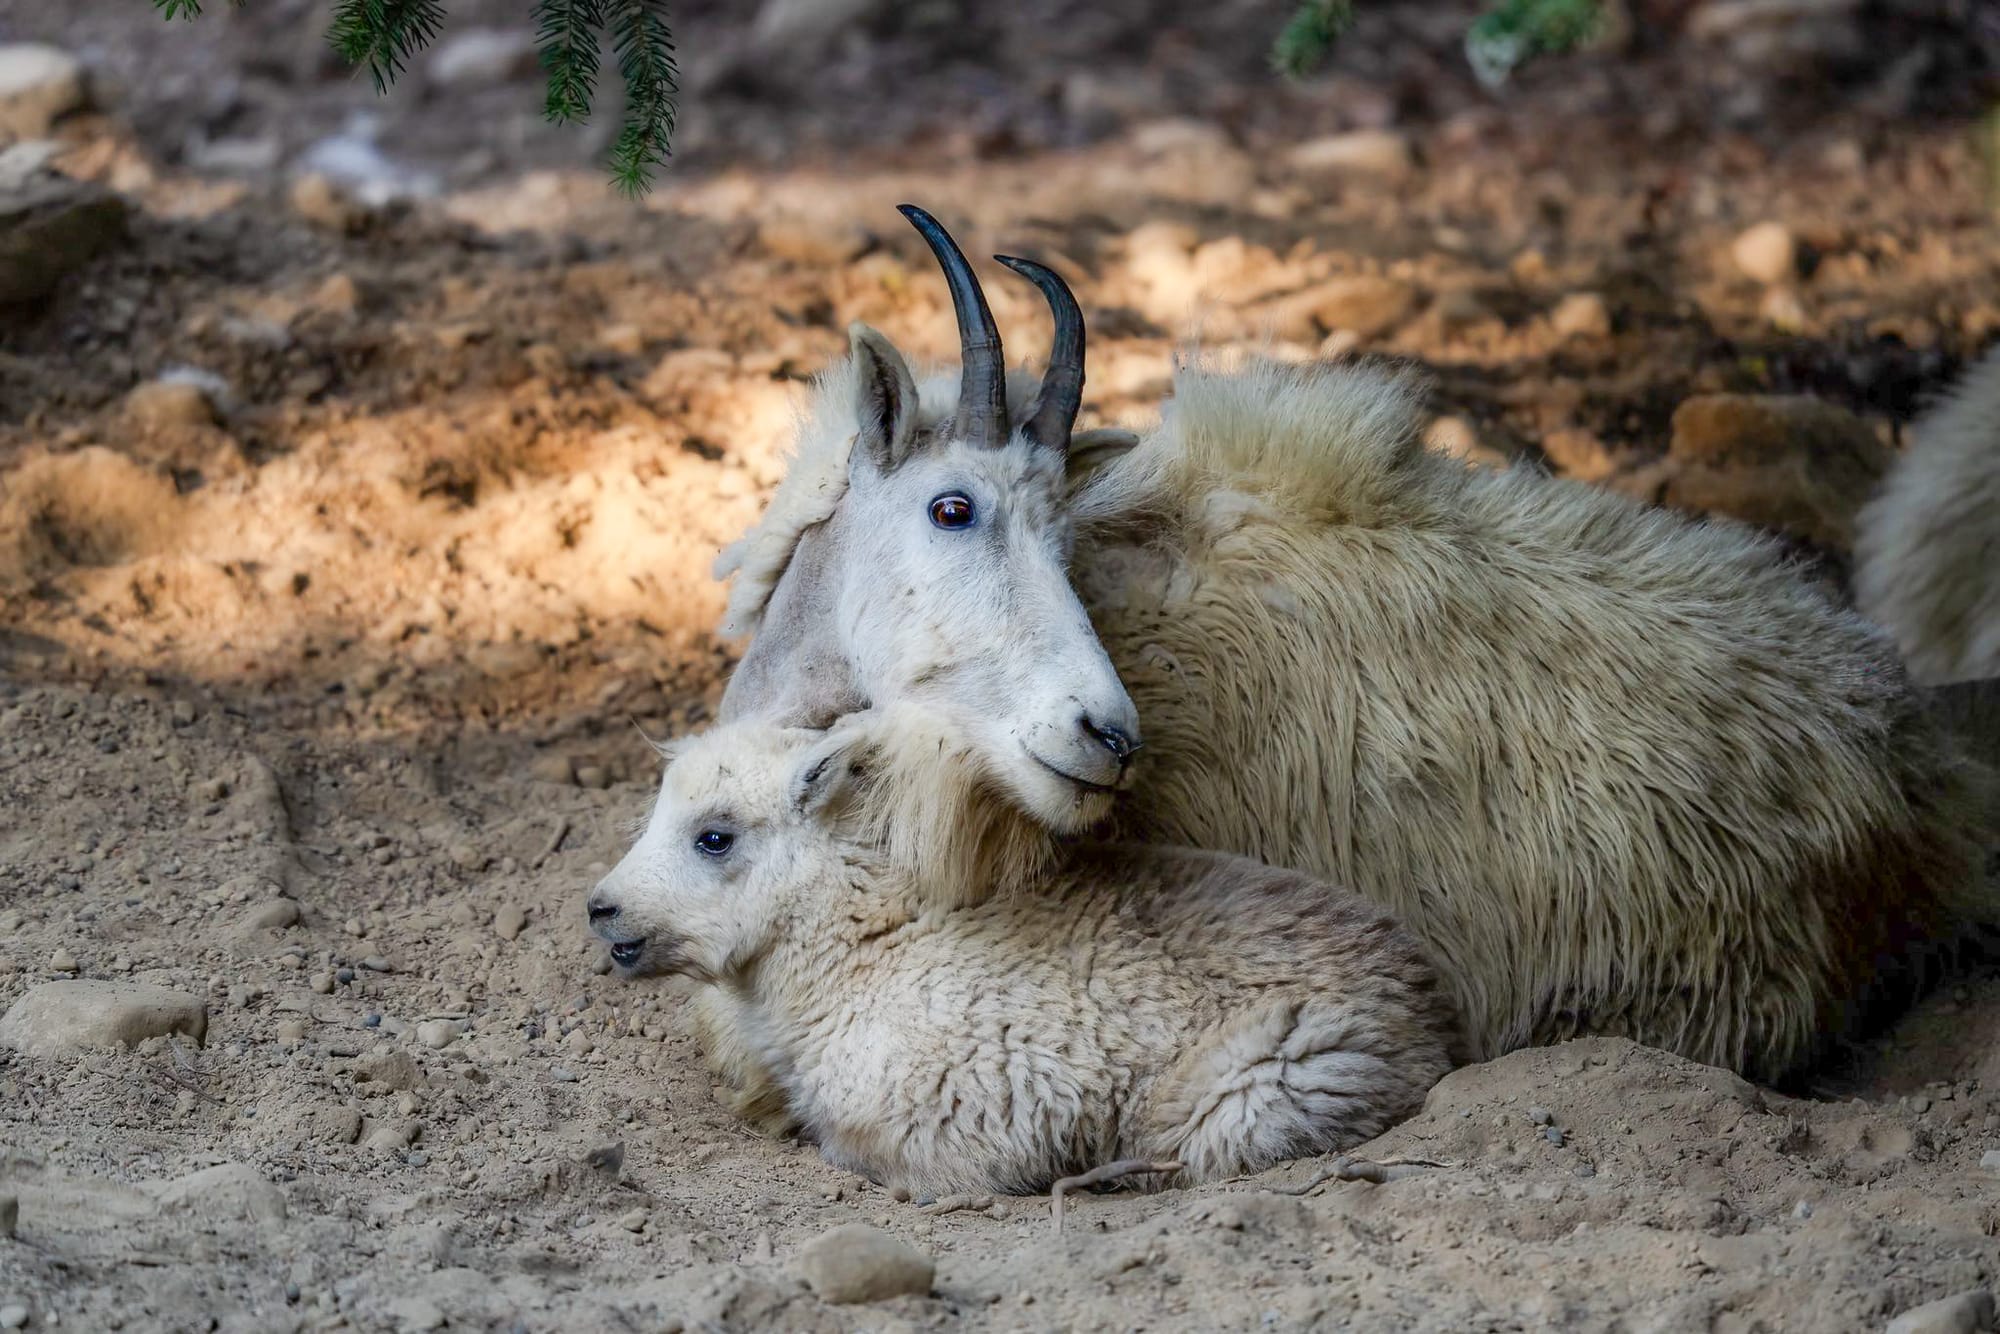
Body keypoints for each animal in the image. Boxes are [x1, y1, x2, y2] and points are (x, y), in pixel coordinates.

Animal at [586, 707, 1461, 1196]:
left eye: (714, 836)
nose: (600, 909)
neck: (872, 946)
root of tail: (1427, 1000)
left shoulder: (969, 1122)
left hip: (1271, 1083)